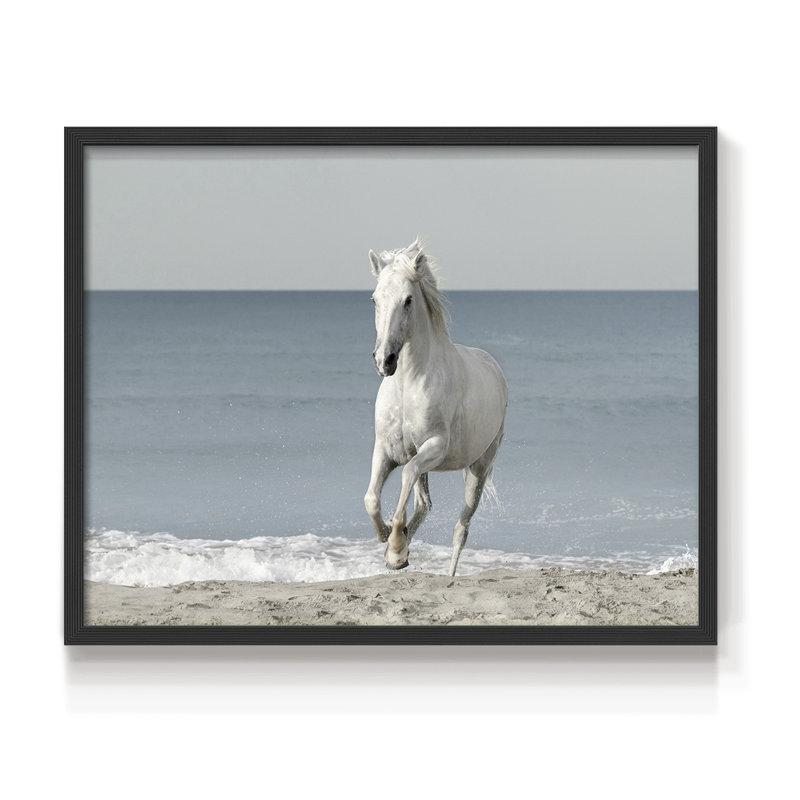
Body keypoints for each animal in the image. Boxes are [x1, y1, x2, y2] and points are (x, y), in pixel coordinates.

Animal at [364, 238, 508, 576]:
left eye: (408, 300)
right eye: (375, 299)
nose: (385, 360)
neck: (408, 387)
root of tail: (494, 367)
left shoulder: (435, 447)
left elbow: (405, 477)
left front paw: (395, 547)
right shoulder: (386, 449)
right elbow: (372, 498)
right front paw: (390, 543)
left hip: (479, 469)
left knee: (461, 528)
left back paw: (448, 573)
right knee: (424, 504)